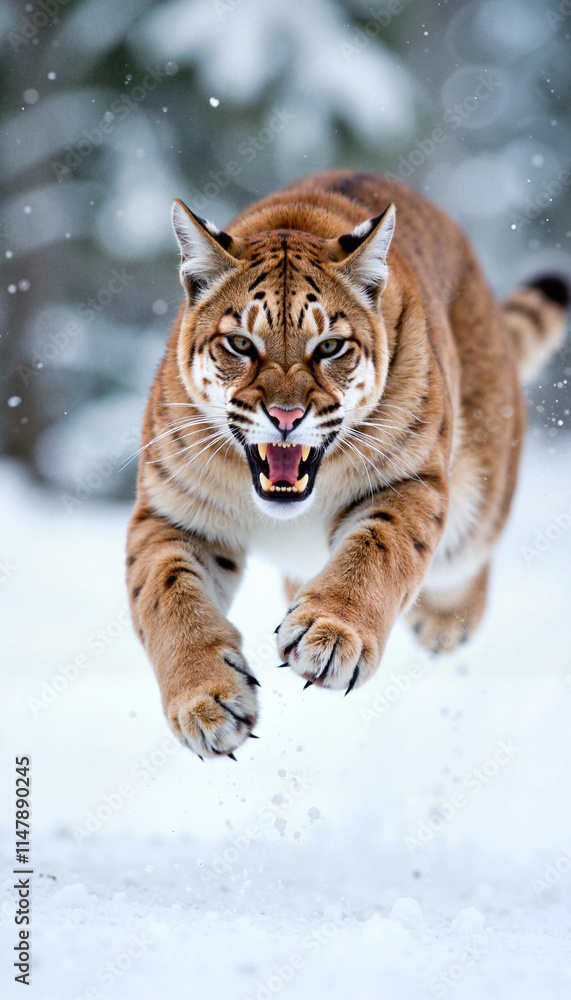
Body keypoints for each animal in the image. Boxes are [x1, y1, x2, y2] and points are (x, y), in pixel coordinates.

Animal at [126, 169, 568, 760]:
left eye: (330, 347)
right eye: (241, 343)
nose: (285, 416)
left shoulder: (411, 480)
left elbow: (378, 549)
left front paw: (333, 634)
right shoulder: (169, 515)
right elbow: (166, 596)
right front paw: (205, 702)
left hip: (476, 509)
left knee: (465, 563)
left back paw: (443, 623)